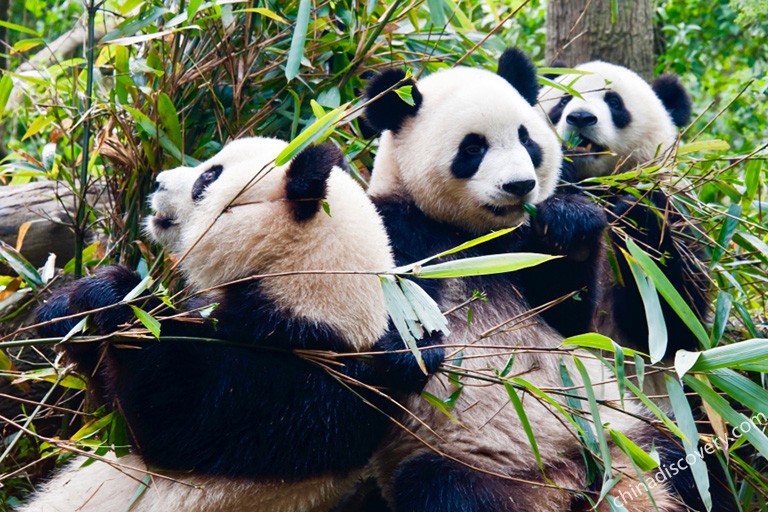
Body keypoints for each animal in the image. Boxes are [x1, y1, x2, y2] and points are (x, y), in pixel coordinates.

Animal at [21, 136, 440, 512]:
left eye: (208, 178)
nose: (158, 181)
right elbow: (106, 398)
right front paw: (63, 308)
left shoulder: (301, 385)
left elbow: (171, 416)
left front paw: (115, 294)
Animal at [536, 62, 708, 360]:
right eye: (563, 101)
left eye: (615, 103)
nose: (580, 117)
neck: (599, 185)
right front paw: (569, 220)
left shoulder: (679, 216)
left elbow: (677, 325)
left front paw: (634, 214)